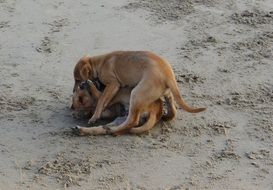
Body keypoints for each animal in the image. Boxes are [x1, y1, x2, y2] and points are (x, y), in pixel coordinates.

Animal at [72, 50, 204, 135]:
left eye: (77, 79)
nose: (74, 89)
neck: (99, 62)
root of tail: (168, 75)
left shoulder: (113, 84)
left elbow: (101, 99)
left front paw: (95, 115)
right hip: (166, 95)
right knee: (173, 111)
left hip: (135, 94)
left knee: (132, 121)